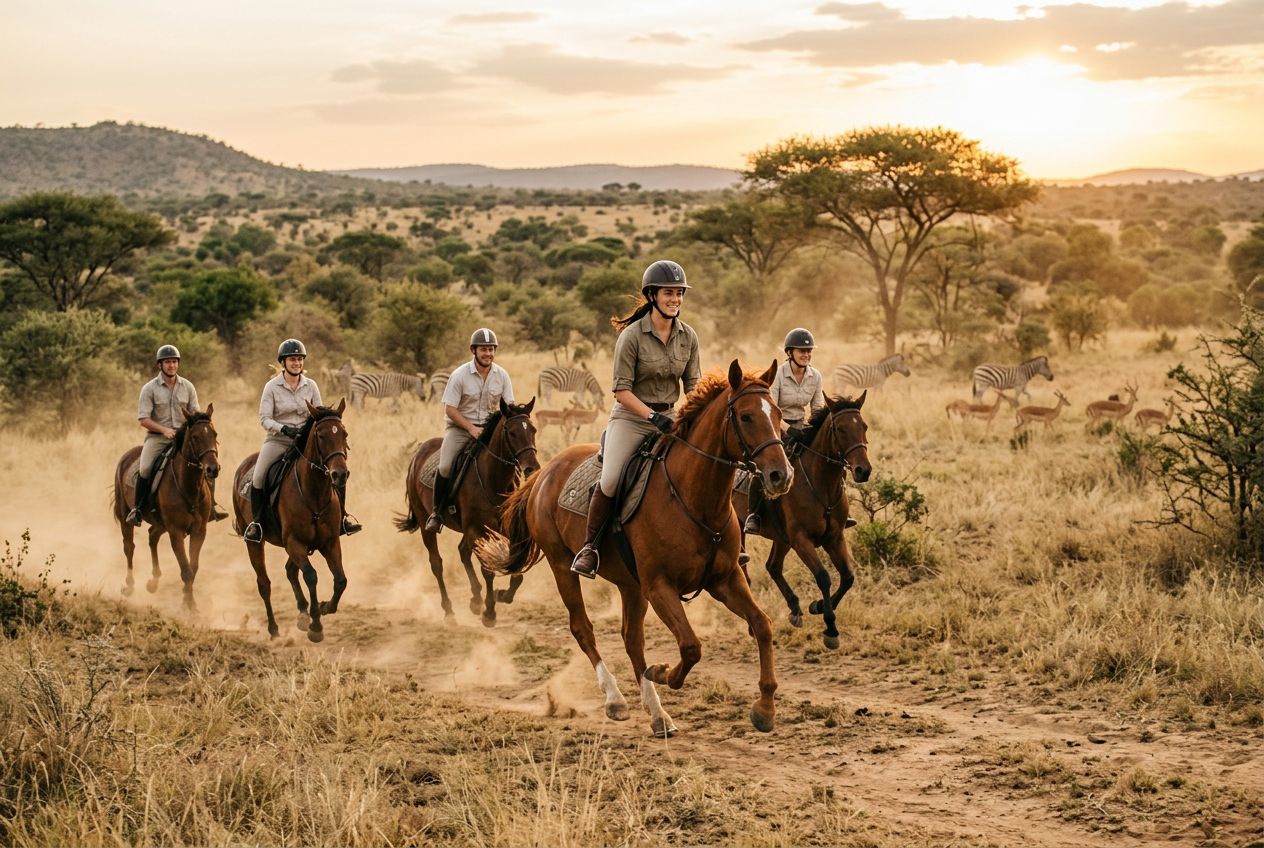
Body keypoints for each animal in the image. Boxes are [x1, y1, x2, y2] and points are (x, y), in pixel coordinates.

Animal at [112, 407, 221, 610]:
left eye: (214, 434)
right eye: (195, 437)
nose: (212, 469)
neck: (187, 487)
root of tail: (126, 456)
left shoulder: (199, 531)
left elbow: (192, 568)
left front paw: (187, 600)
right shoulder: (175, 531)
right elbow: (186, 569)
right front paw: (190, 607)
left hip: (160, 524)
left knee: (152, 537)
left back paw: (153, 583)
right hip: (125, 517)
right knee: (129, 546)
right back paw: (129, 587)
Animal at [231, 400, 350, 643]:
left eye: (344, 433)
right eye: (321, 435)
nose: (339, 474)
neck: (314, 492)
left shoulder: (330, 542)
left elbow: (341, 580)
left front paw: (324, 608)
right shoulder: (295, 543)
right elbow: (311, 576)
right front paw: (316, 625)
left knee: (290, 571)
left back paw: (302, 613)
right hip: (255, 543)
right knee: (264, 584)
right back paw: (274, 628)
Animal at [396, 398, 540, 626]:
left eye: (532, 429)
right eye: (511, 432)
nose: (531, 468)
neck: (492, 478)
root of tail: (418, 454)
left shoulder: (502, 529)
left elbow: (516, 570)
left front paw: (502, 595)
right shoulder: (476, 530)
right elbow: (488, 570)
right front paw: (489, 613)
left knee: (463, 552)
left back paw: (475, 599)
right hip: (427, 523)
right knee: (437, 564)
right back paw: (449, 611)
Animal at [477, 360, 794, 737]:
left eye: (778, 414)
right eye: (746, 417)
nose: (781, 475)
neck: (694, 498)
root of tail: (543, 473)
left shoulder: (725, 579)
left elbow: (762, 625)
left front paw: (765, 708)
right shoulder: (660, 587)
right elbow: (691, 646)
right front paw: (662, 672)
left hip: (629, 584)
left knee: (632, 639)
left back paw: (658, 715)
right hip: (563, 567)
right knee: (583, 629)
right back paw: (616, 699)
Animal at [733, 394, 872, 647]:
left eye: (864, 427)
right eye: (840, 428)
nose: (863, 470)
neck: (820, 484)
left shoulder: (834, 537)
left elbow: (848, 577)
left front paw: (817, 606)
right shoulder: (801, 540)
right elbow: (824, 577)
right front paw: (830, 629)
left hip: (782, 538)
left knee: (773, 566)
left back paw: (795, 608)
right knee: (747, 571)